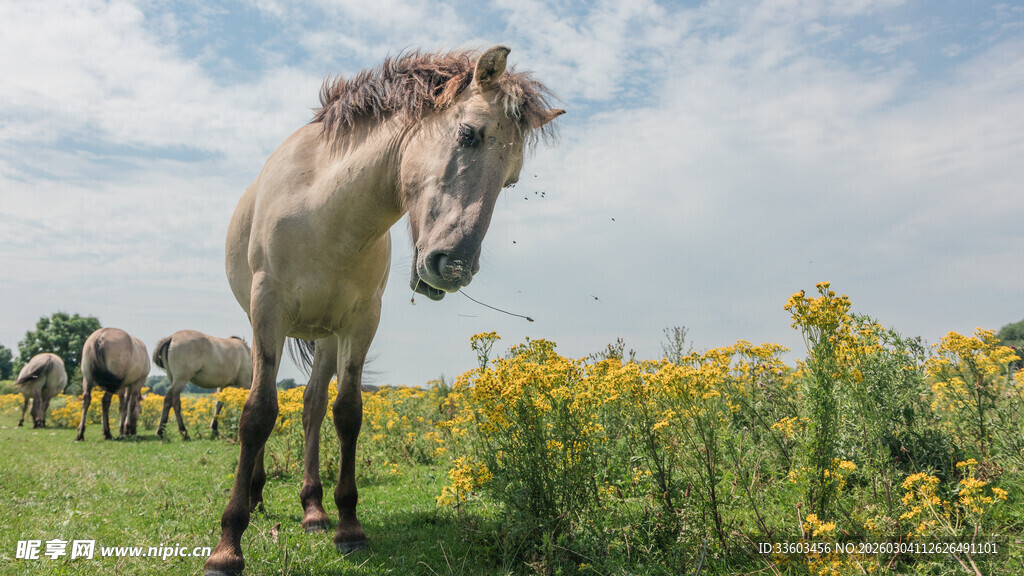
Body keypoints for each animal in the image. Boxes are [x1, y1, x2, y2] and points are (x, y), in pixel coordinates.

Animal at [204, 46, 562, 575]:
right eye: (467, 134)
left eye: (512, 178)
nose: (452, 267)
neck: (324, 210)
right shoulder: (267, 311)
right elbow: (257, 413)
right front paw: (228, 546)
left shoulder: (360, 322)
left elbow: (347, 413)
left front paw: (349, 527)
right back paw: (255, 496)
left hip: (327, 337)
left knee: (312, 407)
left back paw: (313, 510)